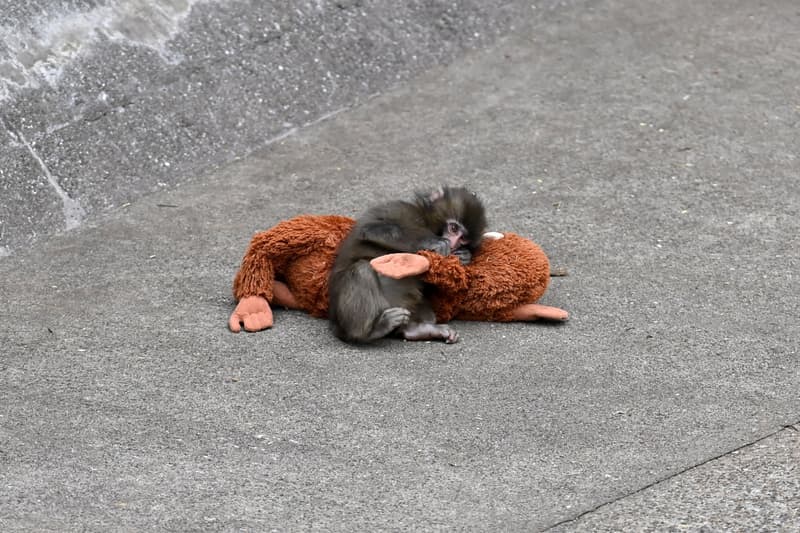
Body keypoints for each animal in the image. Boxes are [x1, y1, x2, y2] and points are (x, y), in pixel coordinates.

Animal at [327, 186, 487, 344]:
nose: (453, 244)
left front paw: (464, 256)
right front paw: (433, 242)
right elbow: (370, 229)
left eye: (463, 239)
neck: (424, 220)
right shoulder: (399, 209)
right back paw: (370, 331)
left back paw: (415, 330)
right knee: (361, 270)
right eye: (453, 228)